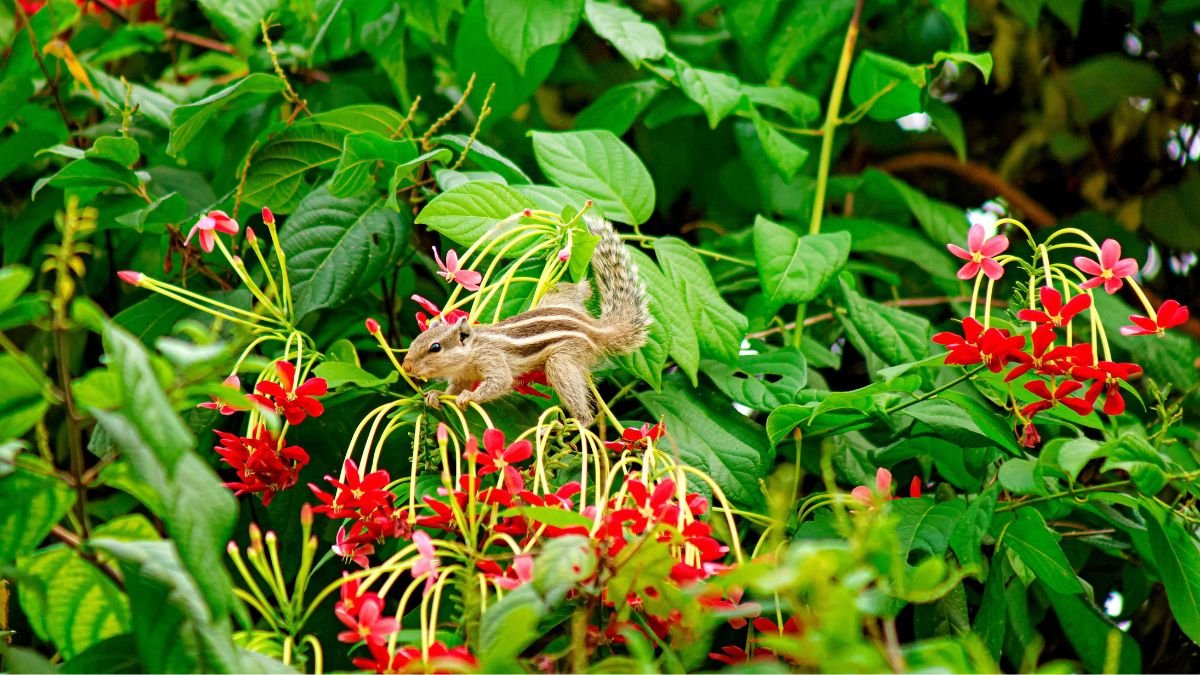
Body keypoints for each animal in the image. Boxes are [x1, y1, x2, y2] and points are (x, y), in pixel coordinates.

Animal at [402, 214, 650, 426]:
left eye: (435, 347)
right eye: (416, 340)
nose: (406, 367)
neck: (471, 351)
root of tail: (594, 327)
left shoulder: (491, 358)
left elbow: (499, 382)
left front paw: (468, 397)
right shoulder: (462, 375)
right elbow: (452, 390)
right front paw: (436, 395)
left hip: (563, 359)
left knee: (575, 395)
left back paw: (578, 421)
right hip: (556, 298)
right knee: (581, 291)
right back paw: (581, 284)